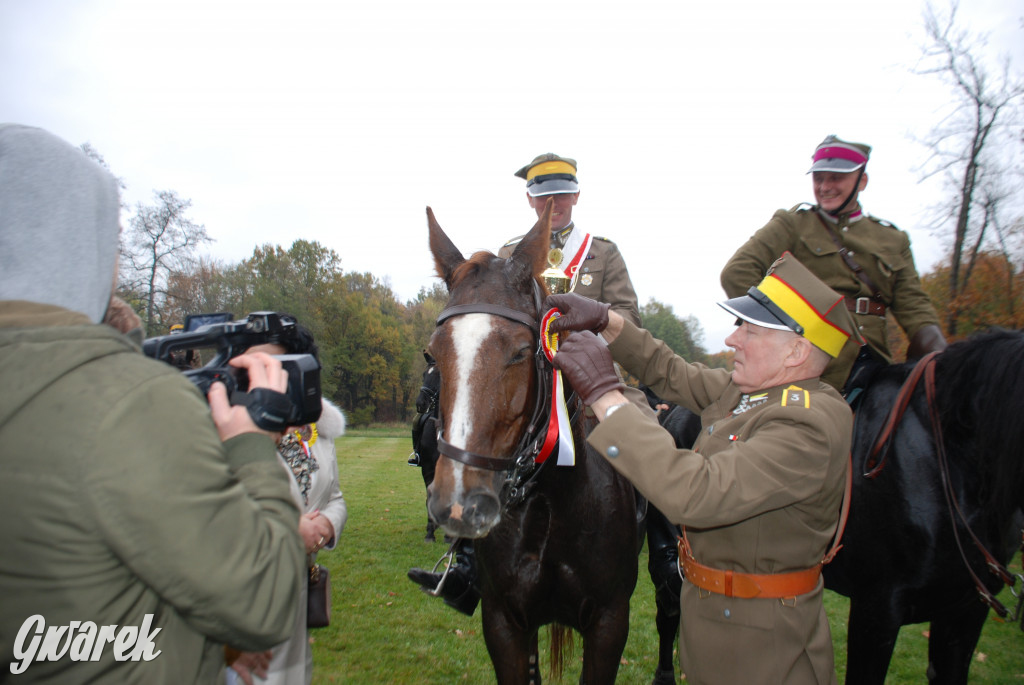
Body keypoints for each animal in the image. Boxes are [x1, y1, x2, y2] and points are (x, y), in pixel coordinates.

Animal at [423, 202, 638, 683]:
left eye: (522, 351)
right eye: (433, 354)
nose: (459, 504)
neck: (550, 504)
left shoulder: (610, 624)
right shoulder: (504, 622)